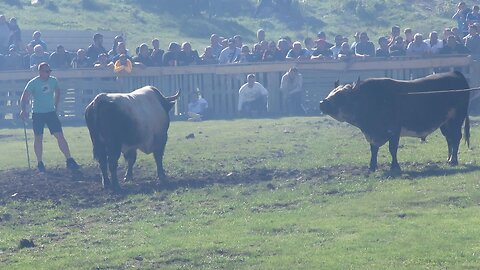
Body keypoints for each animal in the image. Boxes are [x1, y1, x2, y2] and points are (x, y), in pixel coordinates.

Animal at [318, 71, 468, 173]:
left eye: (341, 95)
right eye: (332, 91)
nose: (322, 103)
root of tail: (455, 73)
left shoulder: (394, 130)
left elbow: (392, 149)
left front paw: (395, 167)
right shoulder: (373, 133)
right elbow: (374, 149)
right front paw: (372, 167)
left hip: (457, 118)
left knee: (456, 137)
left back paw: (454, 160)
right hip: (446, 123)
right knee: (449, 139)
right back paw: (448, 159)